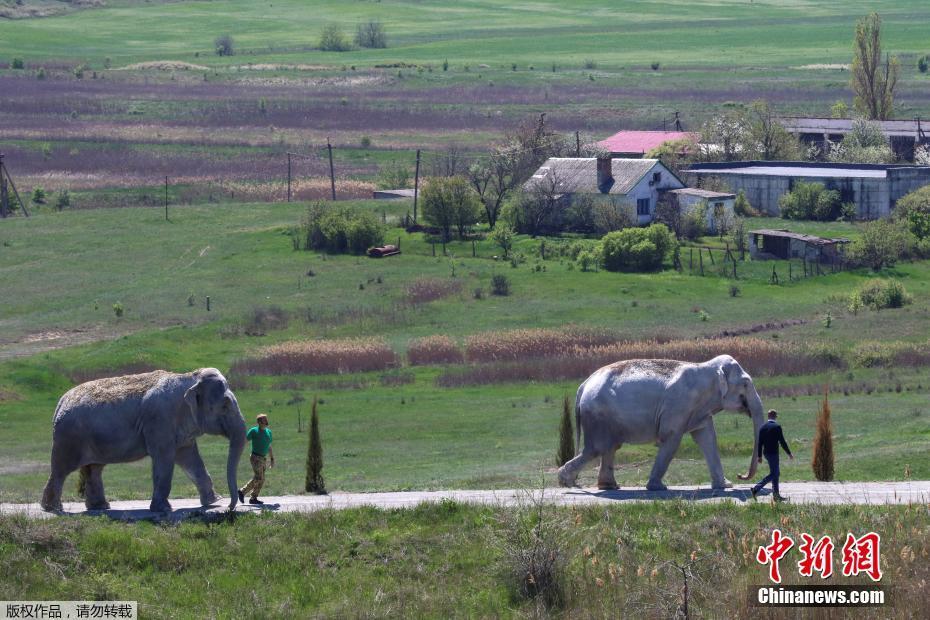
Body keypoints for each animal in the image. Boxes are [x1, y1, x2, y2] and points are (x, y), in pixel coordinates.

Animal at [40, 368, 246, 512]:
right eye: (225, 406)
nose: (229, 507)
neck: (189, 378)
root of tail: (60, 403)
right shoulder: (159, 420)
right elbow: (164, 459)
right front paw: (163, 510)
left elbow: (191, 459)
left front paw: (213, 502)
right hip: (68, 438)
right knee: (61, 470)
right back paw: (52, 508)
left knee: (94, 468)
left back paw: (100, 507)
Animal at [560, 356, 760, 492]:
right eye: (746, 383)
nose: (740, 476)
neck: (706, 367)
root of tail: (584, 385)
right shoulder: (679, 404)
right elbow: (671, 438)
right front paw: (657, 488)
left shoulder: (699, 410)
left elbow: (707, 438)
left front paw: (724, 485)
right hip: (597, 415)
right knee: (597, 448)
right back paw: (566, 482)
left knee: (610, 447)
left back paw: (609, 486)